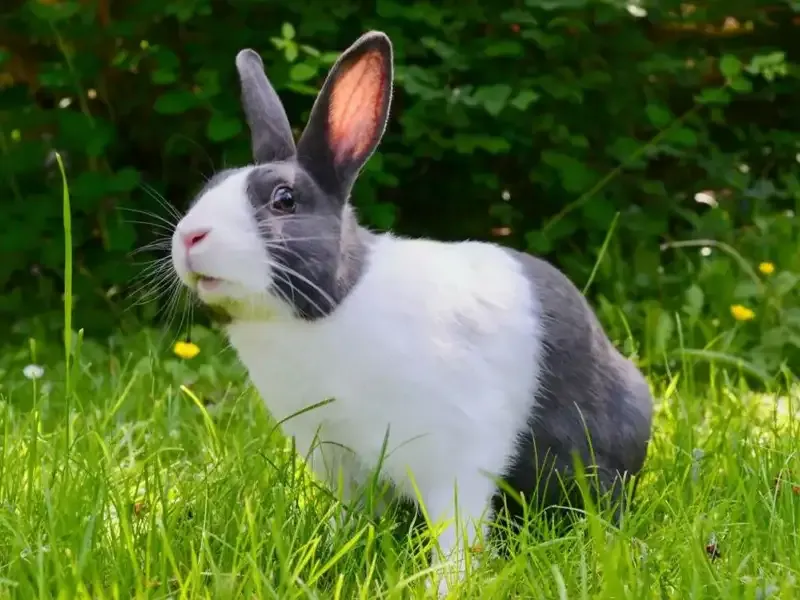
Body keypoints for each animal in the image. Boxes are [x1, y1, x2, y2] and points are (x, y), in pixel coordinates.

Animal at [170, 30, 654, 596]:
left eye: (284, 200)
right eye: (210, 186)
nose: (189, 237)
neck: (332, 309)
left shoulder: (454, 455)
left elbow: (457, 531)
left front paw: (443, 585)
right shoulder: (338, 458)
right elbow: (352, 516)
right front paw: (331, 553)